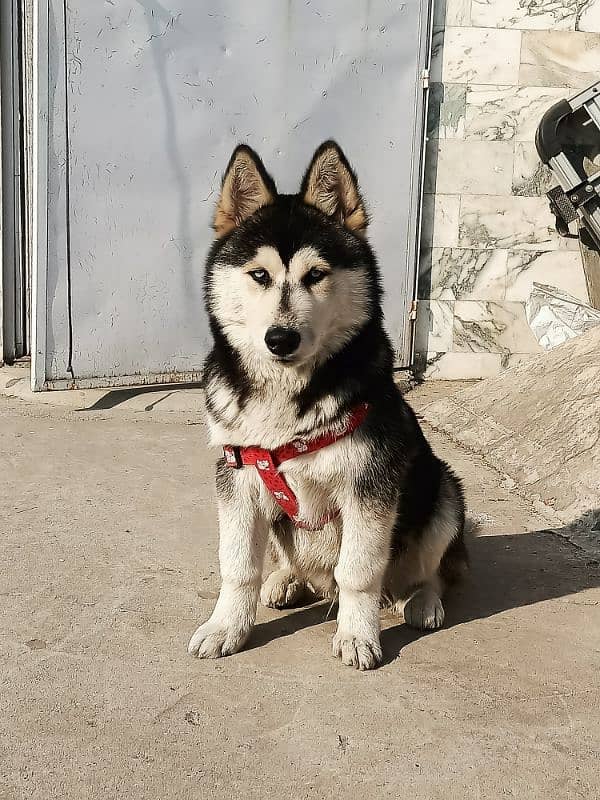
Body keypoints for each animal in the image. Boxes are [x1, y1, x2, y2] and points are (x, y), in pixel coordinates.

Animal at [189, 139, 468, 668]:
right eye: (259, 275)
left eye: (316, 275)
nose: (280, 338)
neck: (288, 397)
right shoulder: (237, 475)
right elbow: (238, 566)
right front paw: (227, 626)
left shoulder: (370, 483)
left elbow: (358, 573)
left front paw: (358, 634)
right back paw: (286, 579)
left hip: (443, 493)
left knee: (438, 570)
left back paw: (423, 599)